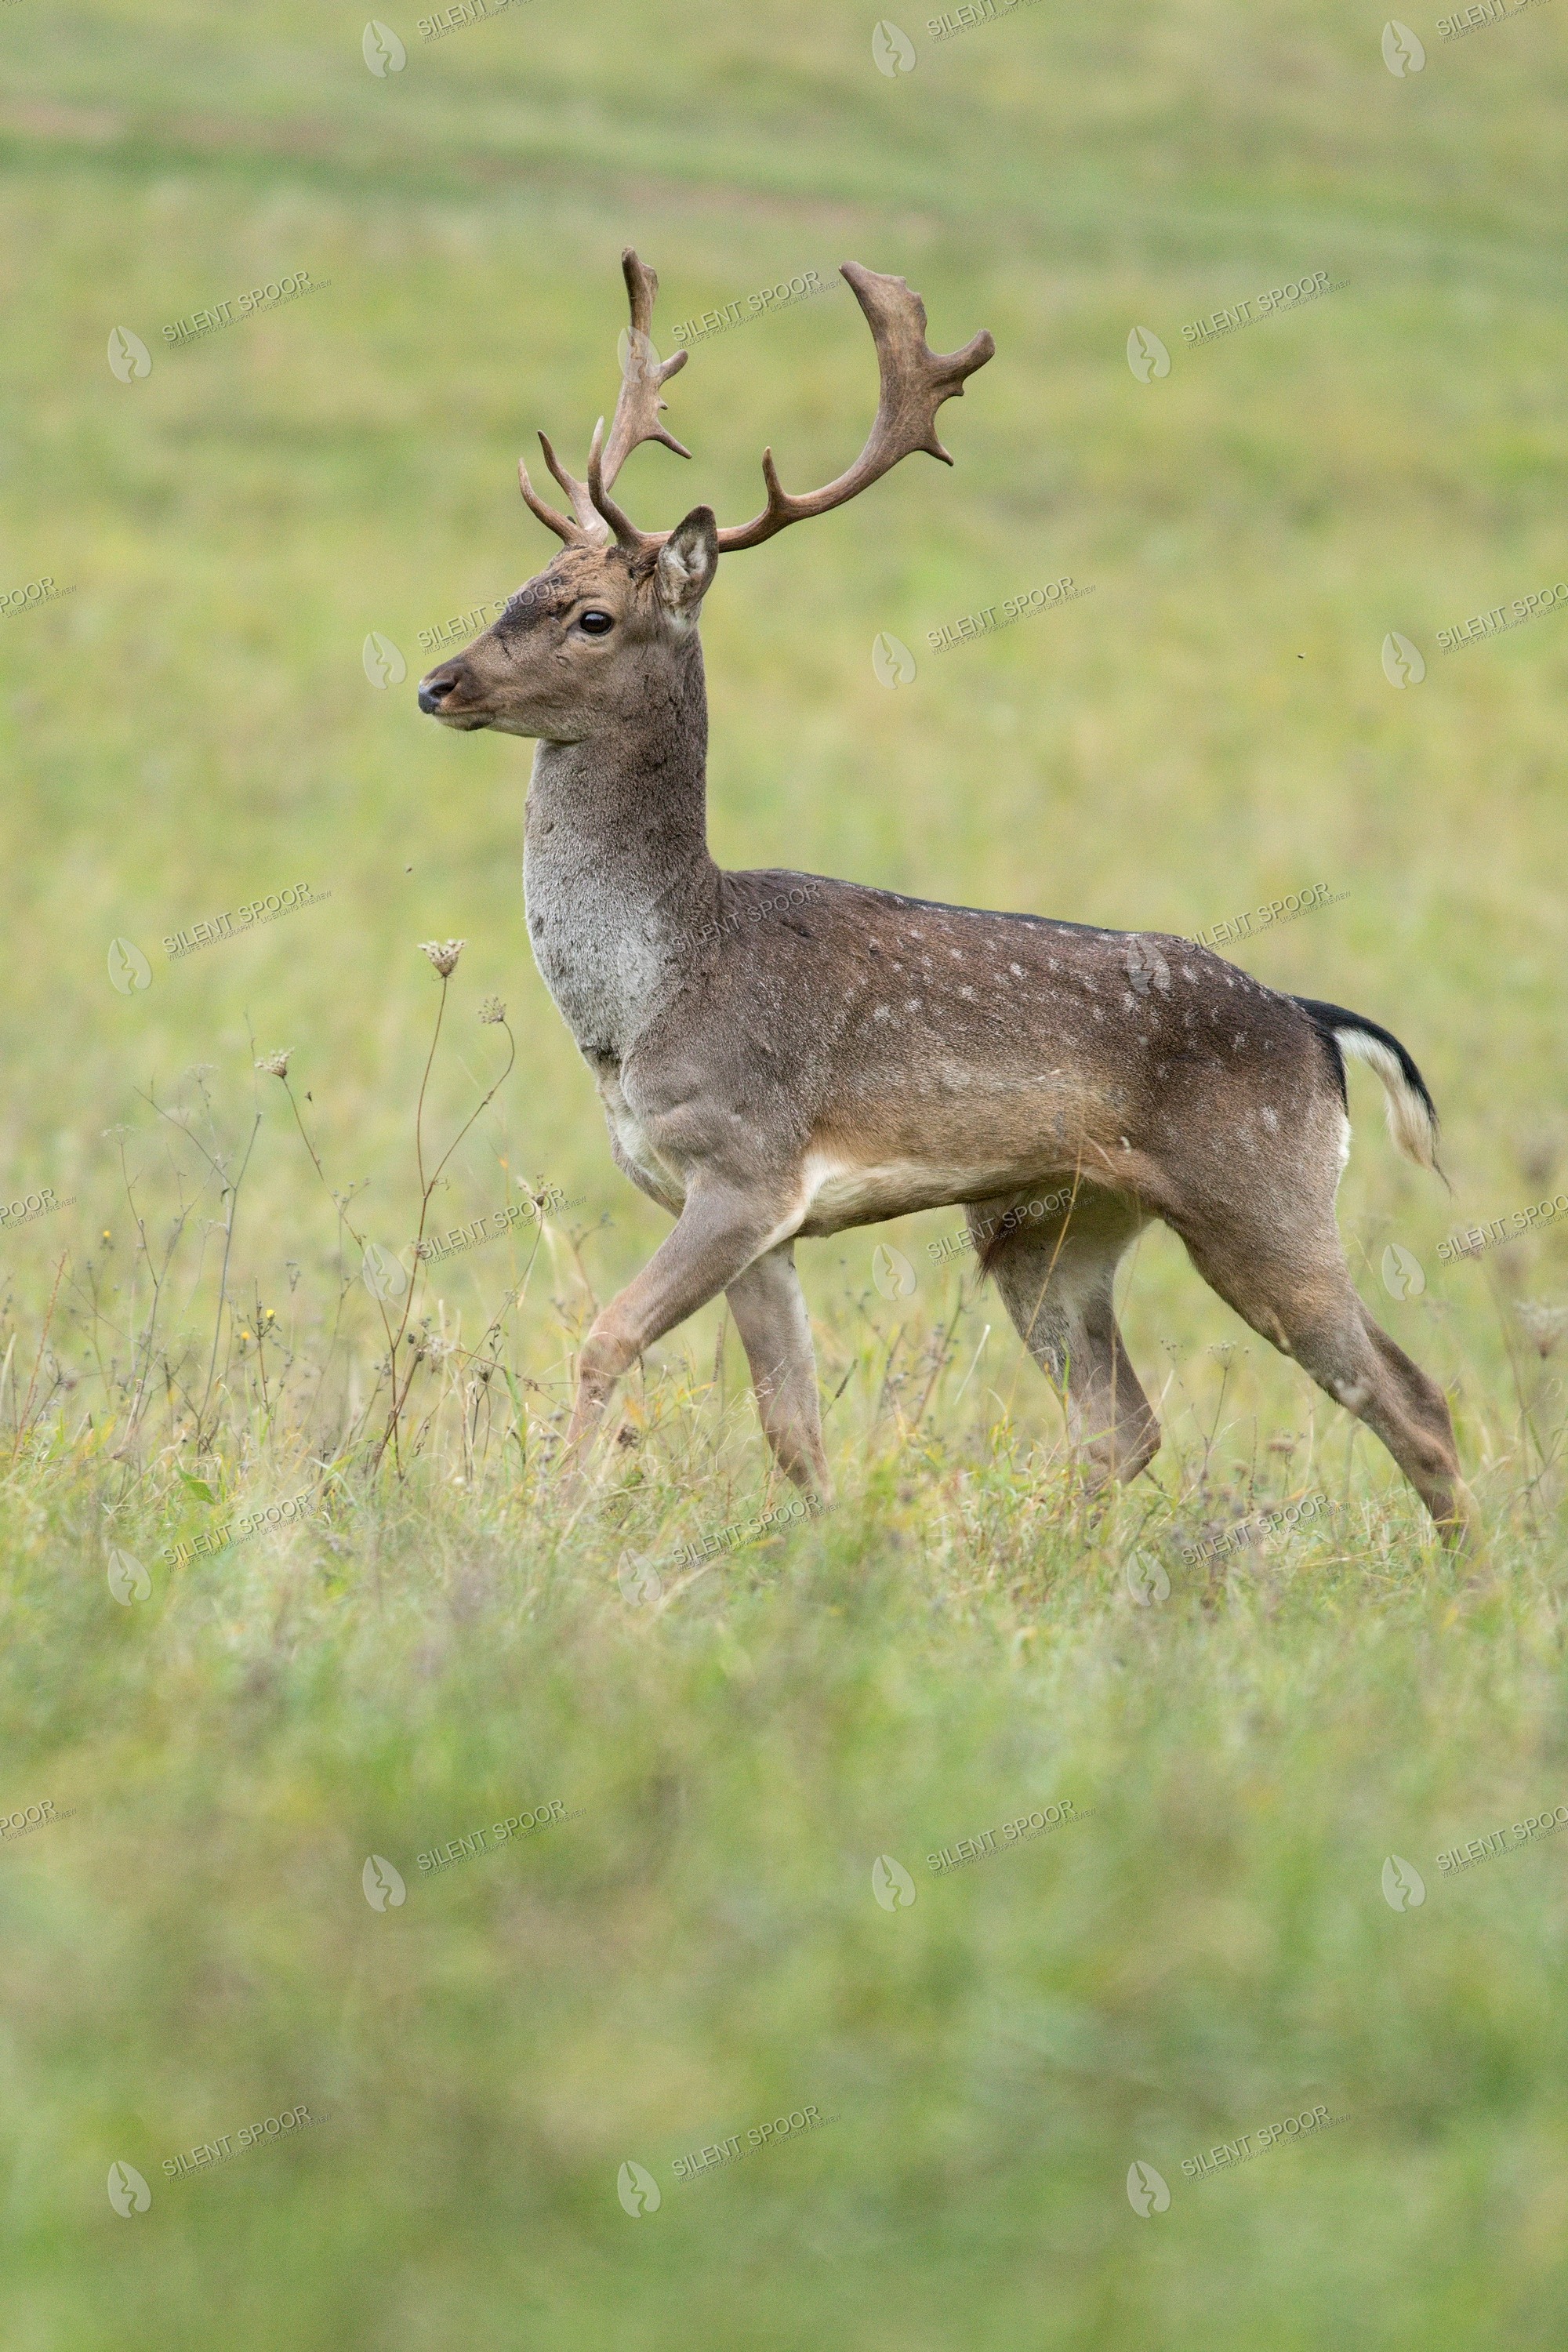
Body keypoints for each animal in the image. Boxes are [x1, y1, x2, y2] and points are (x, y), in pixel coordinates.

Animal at [417, 250, 1479, 1549]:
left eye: (591, 616)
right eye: (517, 587)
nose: (438, 683)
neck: (648, 991)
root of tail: (1321, 1027)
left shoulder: (746, 1161)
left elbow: (606, 1339)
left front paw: (549, 1528)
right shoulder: (745, 1210)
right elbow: (793, 1423)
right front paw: (825, 1553)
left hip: (1265, 1195)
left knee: (1411, 1399)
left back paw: (1470, 1584)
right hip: (1052, 1228)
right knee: (1125, 1423)